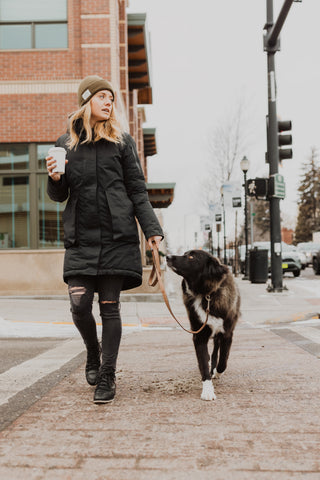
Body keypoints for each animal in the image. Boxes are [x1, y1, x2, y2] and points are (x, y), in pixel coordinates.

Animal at [166, 249, 239, 400]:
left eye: (191, 256)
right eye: (185, 253)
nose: (167, 256)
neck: (205, 294)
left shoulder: (227, 334)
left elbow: (223, 361)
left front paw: (217, 372)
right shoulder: (199, 335)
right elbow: (204, 364)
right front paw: (208, 390)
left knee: (217, 351)